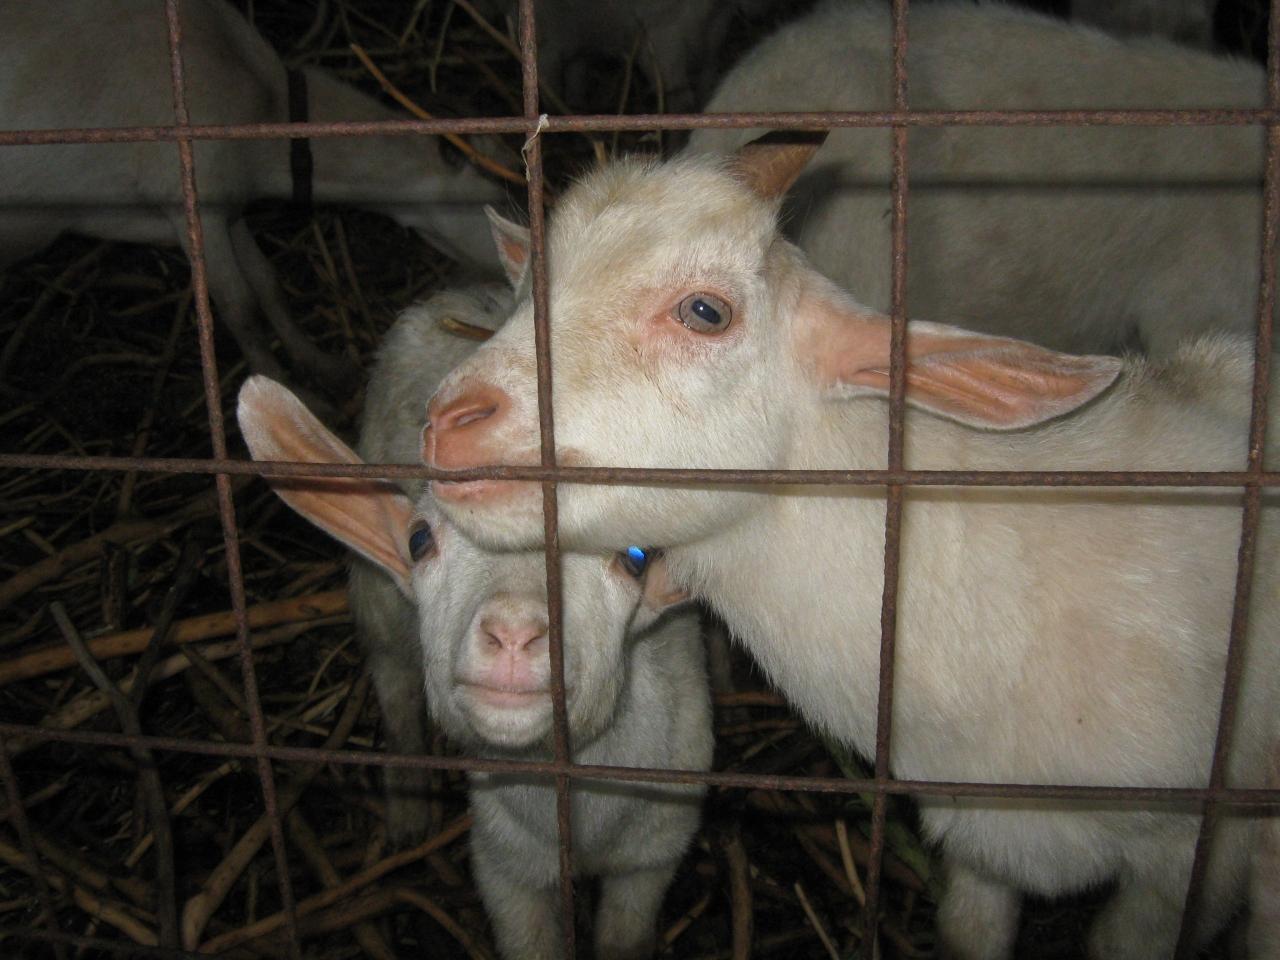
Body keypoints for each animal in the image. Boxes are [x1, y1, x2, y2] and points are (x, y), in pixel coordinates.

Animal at [0, 0, 505, 385]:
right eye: (500, 199)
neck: (261, 106)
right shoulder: (193, 205)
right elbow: (238, 305)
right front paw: (287, 388)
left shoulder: (228, 206)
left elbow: (267, 283)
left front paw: (321, 364)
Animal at [236, 373, 711, 957]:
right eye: (419, 541)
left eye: (635, 559)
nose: (512, 631)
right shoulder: (503, 863)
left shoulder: (656, 852)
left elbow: (624, 937)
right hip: (379, 606)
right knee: (393, 682)